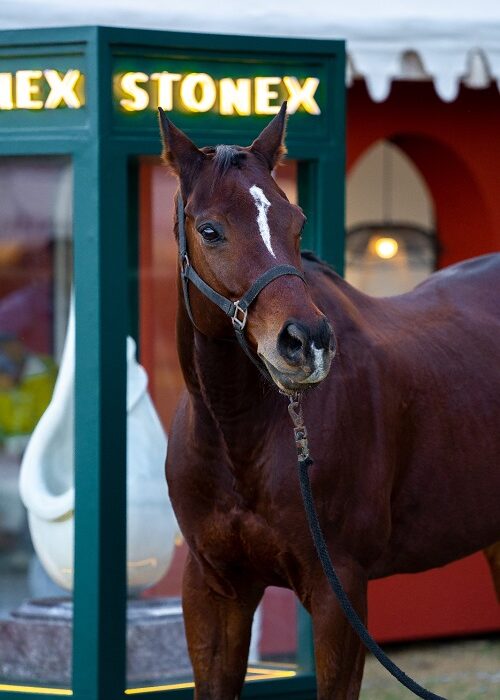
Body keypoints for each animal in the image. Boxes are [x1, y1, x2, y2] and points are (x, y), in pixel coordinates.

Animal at [159, 105, 500, 700]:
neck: (239, 437)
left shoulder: (339, 593)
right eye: (210, 230)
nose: (308, 342)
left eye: (296, 223)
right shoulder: (214, 590)